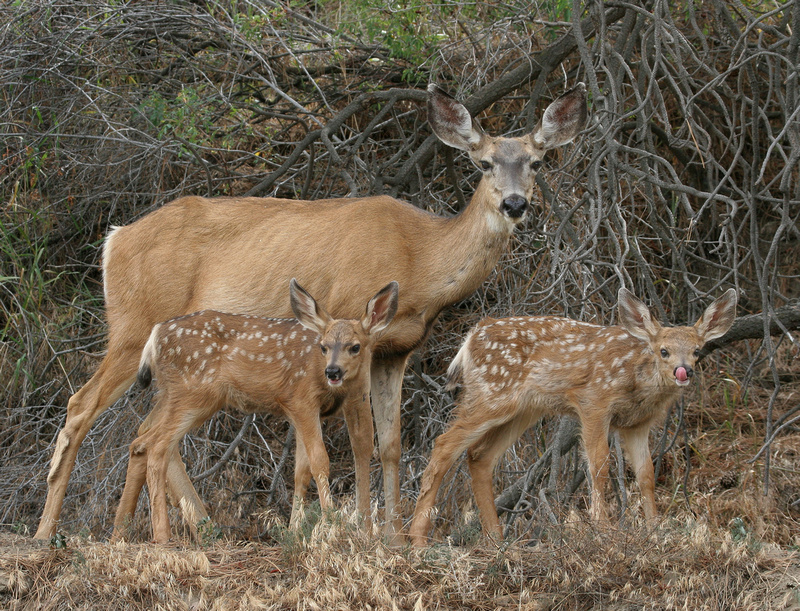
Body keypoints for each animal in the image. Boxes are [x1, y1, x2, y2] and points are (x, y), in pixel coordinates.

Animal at [111, 280, 398, 544]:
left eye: (355, 346)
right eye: (324, 346)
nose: (333, 371)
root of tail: (155, 334)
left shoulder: (301, 412)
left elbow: (300, 471)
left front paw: (295, 531)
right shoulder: (300, 400)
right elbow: (319, 461)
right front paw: (332, 524)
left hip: (171, 395)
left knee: (140, 440)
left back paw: (119, 533)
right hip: (192, 394)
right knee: (156, 445)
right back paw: (162, 536)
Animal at [410, 290, 740, 548]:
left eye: (697, 350)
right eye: (664, 350)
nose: (683, 371)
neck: (637, 379)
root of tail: (470, 339)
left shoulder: (637, 424)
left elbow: (646, 474)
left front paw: (654, 529)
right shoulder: (593, 402)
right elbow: (599, 465)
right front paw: (603, 528)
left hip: (523, 410)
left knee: (479, 456)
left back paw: (496, 539)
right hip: (492, 394)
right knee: (443, 445)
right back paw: (418, 540)